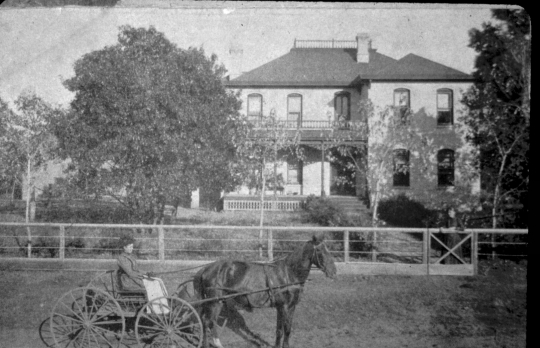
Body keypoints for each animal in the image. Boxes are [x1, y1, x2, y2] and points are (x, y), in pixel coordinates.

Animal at [193, 234, 338, 348]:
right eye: (319, 250)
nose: (333, 272)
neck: (288, 273)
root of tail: (206, 269)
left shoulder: (286, 307)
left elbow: (281, 330)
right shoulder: (285, 306)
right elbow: (285, 329)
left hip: (217, 302)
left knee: (210, 322)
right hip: (214, 302)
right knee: (206, 322)